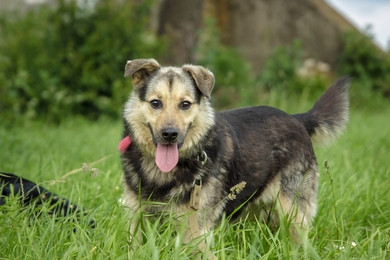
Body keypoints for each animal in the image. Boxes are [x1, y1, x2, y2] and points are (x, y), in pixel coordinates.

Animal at [119, 59, 350, 248]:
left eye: (185, 104)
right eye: (155, 103)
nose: (169, 134)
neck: (162, 173)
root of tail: (296, 118)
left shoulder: (196, 231)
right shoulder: (135, 217)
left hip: (293, 212)